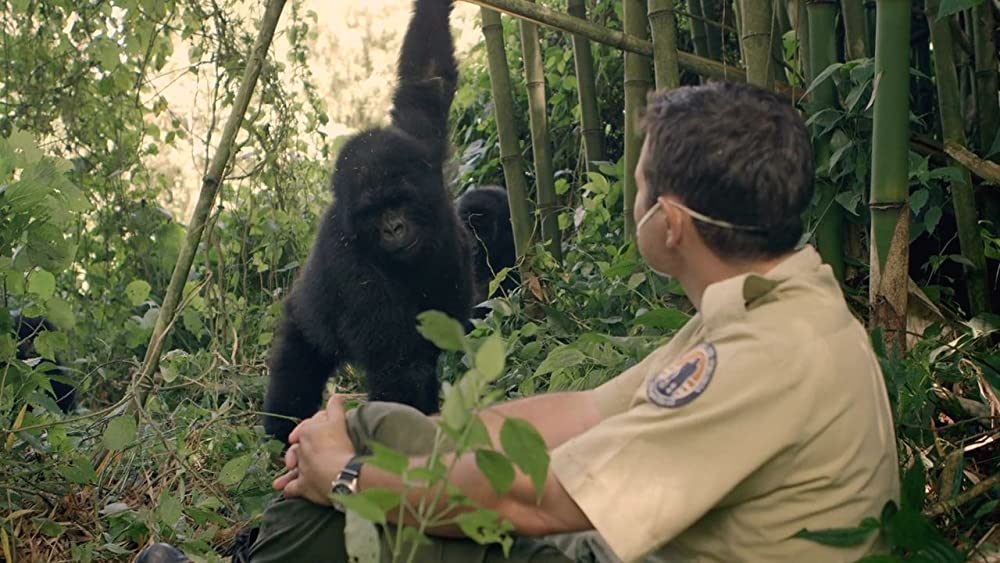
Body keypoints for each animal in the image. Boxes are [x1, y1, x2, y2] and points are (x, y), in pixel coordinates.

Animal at [262, 0, 472, 446]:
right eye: (372, 213)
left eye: (398, 201)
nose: (393, 228)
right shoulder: (349, 263)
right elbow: (400, 371)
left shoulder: (420, 146)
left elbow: (426, 78)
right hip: (302, 321)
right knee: (295, 374)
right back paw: (278, 436)